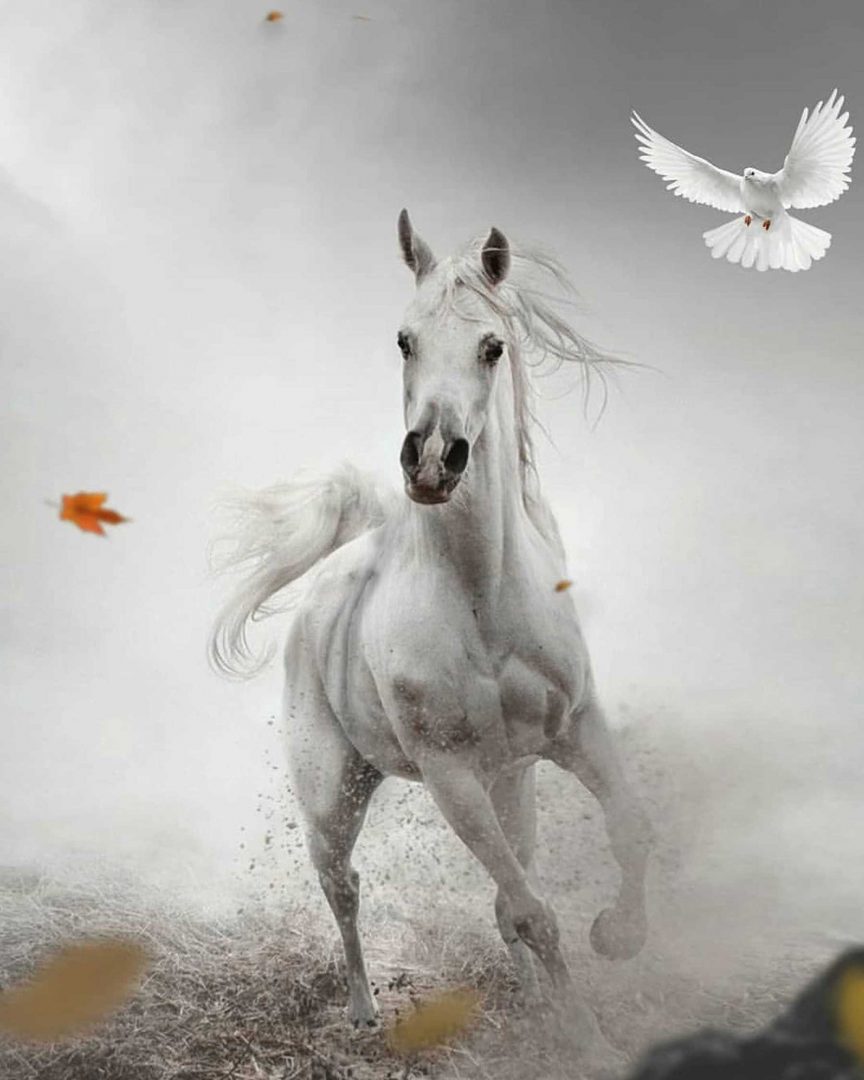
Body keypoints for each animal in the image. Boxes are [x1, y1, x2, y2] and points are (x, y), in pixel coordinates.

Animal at [209, 210, 653, 1047]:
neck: (483, 599)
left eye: (493, 346)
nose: (433, 461)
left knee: (505, 890)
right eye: (404, 339)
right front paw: (585, 1036)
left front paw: (615, 939)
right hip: (333, 794)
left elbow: (622, 834)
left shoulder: (575, 729)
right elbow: (535, 914)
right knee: (344, 887)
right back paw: (364, 1013)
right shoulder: (451, 776)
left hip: (511, 781)